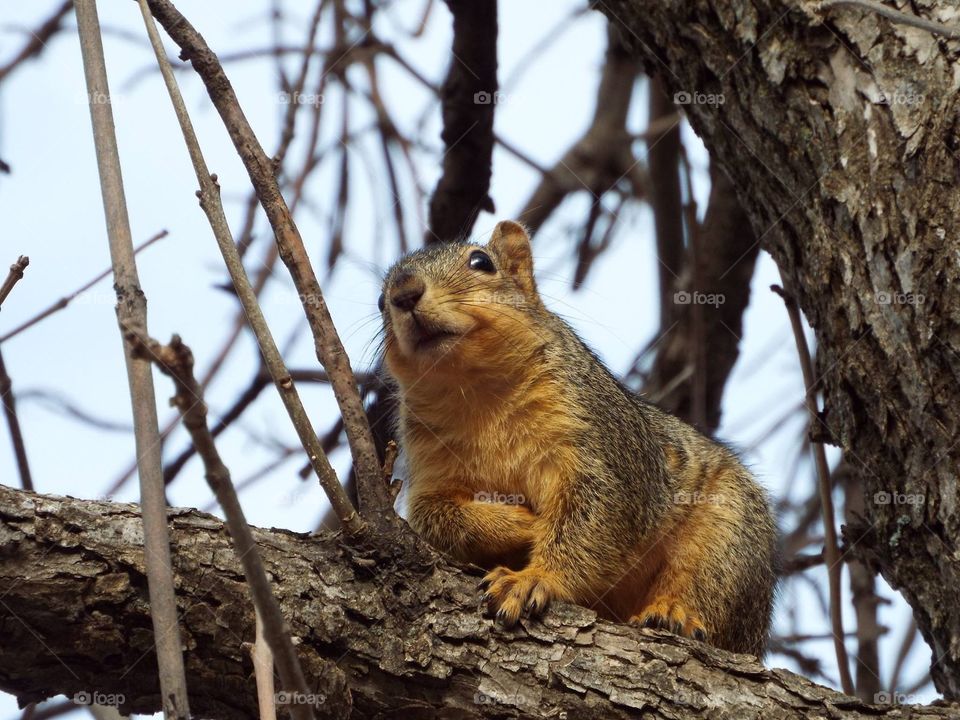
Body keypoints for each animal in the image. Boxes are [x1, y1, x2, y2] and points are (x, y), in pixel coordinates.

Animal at [378, 220, 778, 656]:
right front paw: (524, 525)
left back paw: (674, 614)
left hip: (729, 535)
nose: (403, 293)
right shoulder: (429, 462)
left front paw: (533, 579)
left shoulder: (600, 443)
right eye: (380, 301)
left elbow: (596, 519)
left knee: (708, 588)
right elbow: (436, 515)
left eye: (481, 262)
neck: (476, 394)